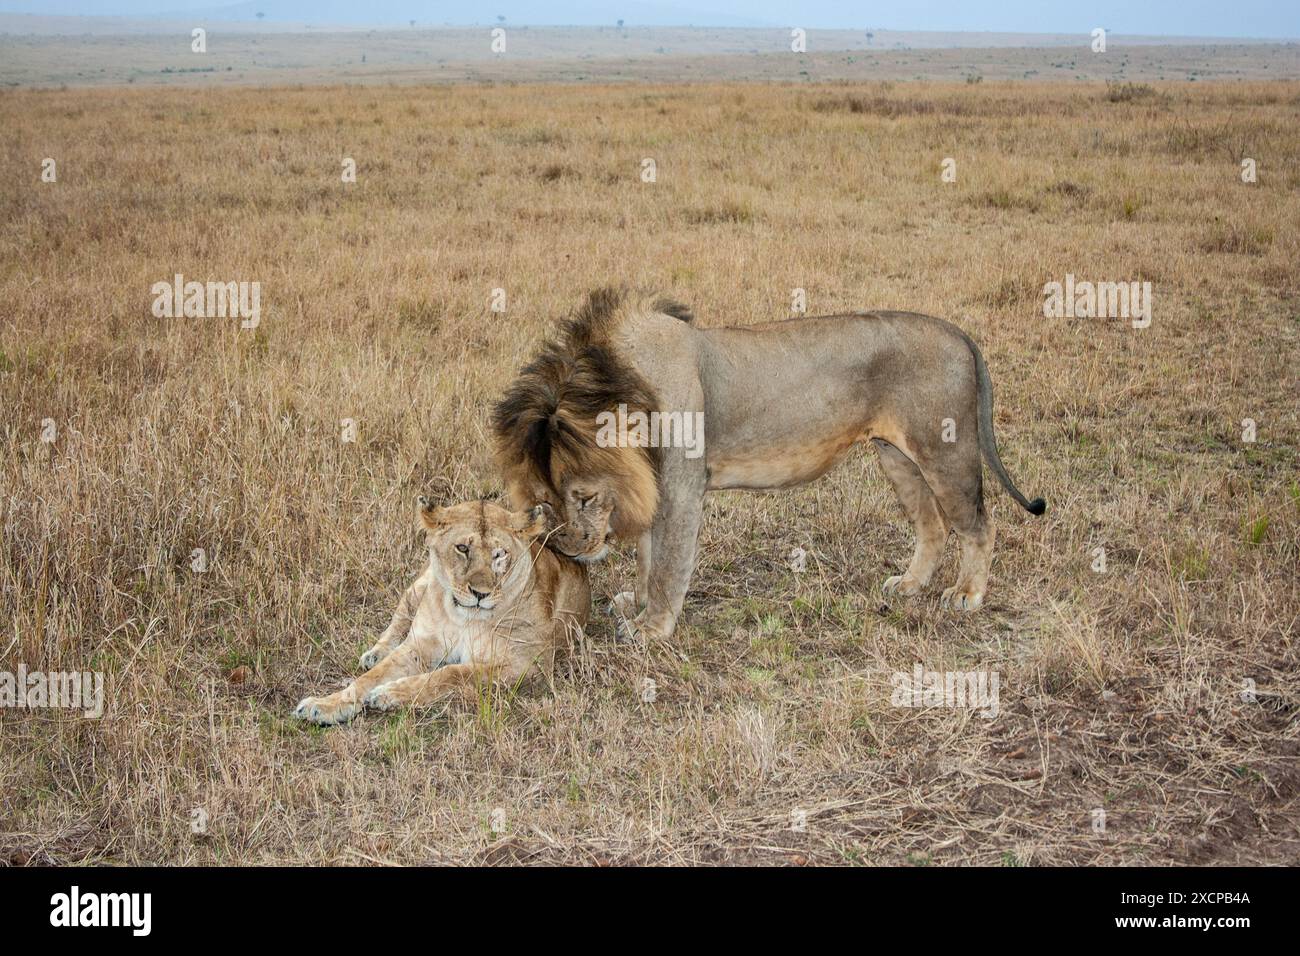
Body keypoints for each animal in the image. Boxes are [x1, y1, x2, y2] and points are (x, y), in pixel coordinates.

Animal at [293, 497, 589, 725]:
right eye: (462, 548)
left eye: (500, 554)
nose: (480, 594)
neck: (464, 618)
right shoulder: (419, 645)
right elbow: (368, 678)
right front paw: (324, 705)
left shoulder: (527, 667)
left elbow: (452, 674)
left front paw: (389, 693)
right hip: (418, 587)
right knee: (398, 621)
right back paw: (375, 654)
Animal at [492, 288, 1045, 643]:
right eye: (543, 500)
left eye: (584, 497)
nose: (567, 548)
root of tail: (957, 332)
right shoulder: (652, 485)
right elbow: (650, 556)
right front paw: (637, 601)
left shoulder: (680, 490)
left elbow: (668, 563)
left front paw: (652, 628)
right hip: (897, 457)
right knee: (932, 524)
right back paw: (909, 585)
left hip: (944, 451)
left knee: (978, 525)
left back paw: (967, 594)